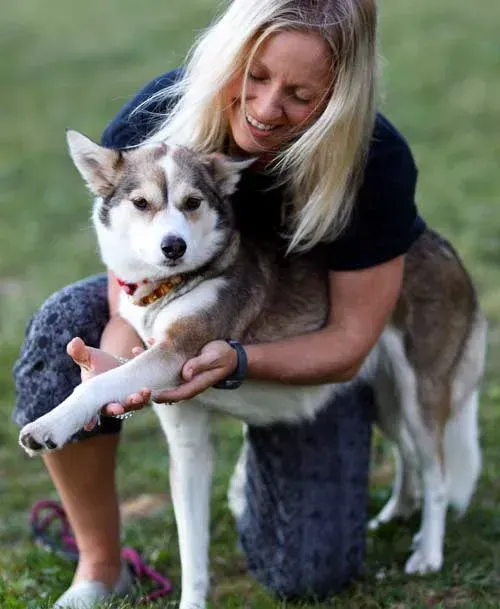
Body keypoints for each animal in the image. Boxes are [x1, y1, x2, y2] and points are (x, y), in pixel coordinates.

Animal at [17, 131, 486, 604]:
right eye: (142, 203)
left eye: (192, 202)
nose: (174, 246)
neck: (172, 286)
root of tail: (441, 246)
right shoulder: (185, 435)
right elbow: (192, 547)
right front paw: (192, 600)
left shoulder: (179, 353)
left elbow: (99, 385)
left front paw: (48, 426)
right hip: (386, 397)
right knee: (406, 453)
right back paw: (397, 511)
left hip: (420, 394)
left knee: (436, 472)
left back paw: (427, 552)